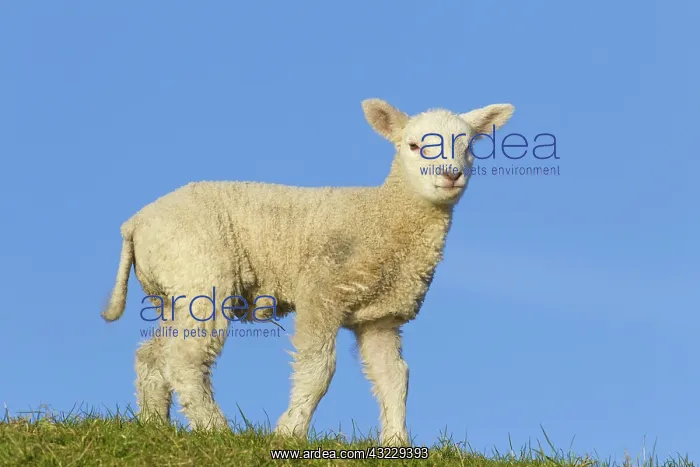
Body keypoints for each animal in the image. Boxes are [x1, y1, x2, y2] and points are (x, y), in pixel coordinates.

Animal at [101, 98, 514, 447]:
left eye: (469, 147)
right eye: (414, 146)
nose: (451, 175)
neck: (382, 216)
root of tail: (135, 223)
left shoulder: (379, 317)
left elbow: (395, 377)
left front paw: (397, 442)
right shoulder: (323, 291)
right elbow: (319, 370)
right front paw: (290, 432)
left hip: (174, 289)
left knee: (152, 356)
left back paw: (153, 426)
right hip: (201, 273)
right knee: (186, 359)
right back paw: (215, 429)